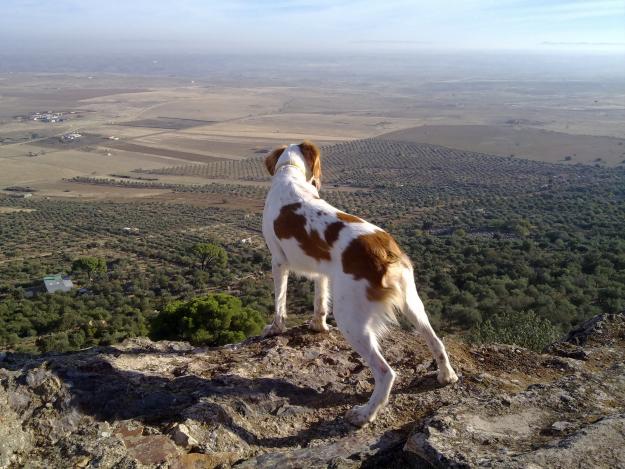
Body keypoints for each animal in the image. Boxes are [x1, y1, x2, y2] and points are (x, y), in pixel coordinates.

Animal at [260, 141, 458, 426]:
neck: (290, 171)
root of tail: (386, 251)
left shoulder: (278, 261)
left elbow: (279, 302)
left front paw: (275, 328)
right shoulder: (322, 271)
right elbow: (319, 301)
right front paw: (318, 326)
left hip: (350, 318)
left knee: (386, 372)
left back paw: (365, 414)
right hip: (412, 302)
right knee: (436, 341)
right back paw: (446, 375)